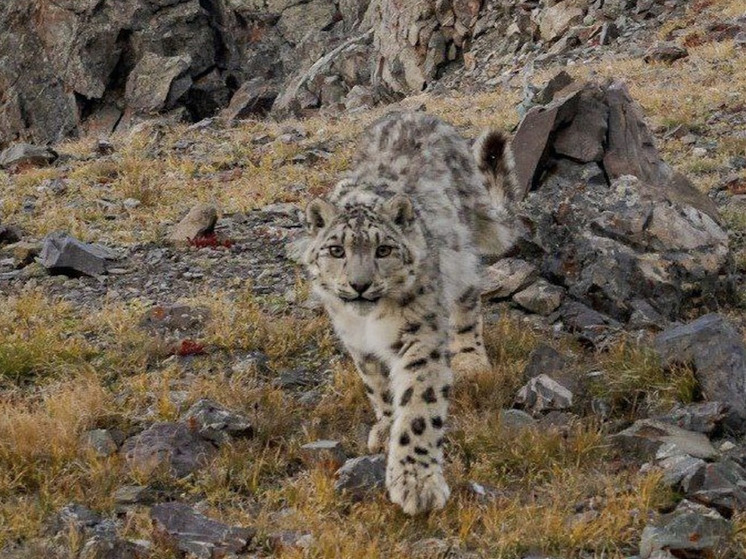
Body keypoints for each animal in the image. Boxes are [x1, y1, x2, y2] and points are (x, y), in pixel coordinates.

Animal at [296, 110, 516, 516]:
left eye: (383, 250)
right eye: (336, 250)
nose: (360, 284)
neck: (369, 322)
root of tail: (417, 111)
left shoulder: (420, 334)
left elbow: (418, 405)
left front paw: (416, 485)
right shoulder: (358, 343)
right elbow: (379, 387)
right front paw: (385, 427)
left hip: (461, 259)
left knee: (467, 302)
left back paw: (472, 360)